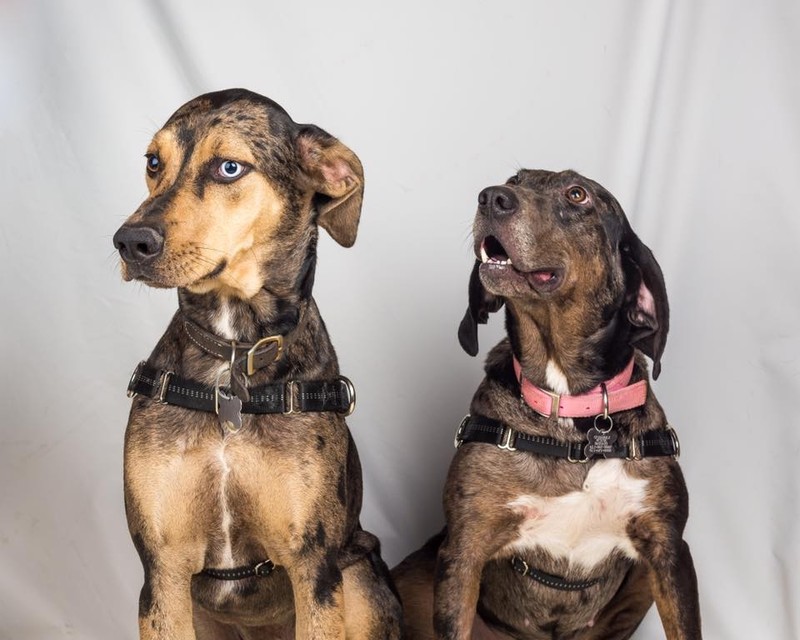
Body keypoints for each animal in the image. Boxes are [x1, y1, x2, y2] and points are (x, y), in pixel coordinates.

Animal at [113, 89, 401, 639]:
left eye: (229, 168)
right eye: (153, 163)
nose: (130, 242)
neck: (233, 356)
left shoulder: (315, 568)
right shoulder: (161, 572)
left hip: (359, 578)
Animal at [393, 169, 701, 639]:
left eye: (577, 195)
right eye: (513, 179)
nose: (491, 198)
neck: (573, 413)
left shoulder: (669, 550)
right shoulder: (464, 550)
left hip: (640, 582)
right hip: (412, 577)